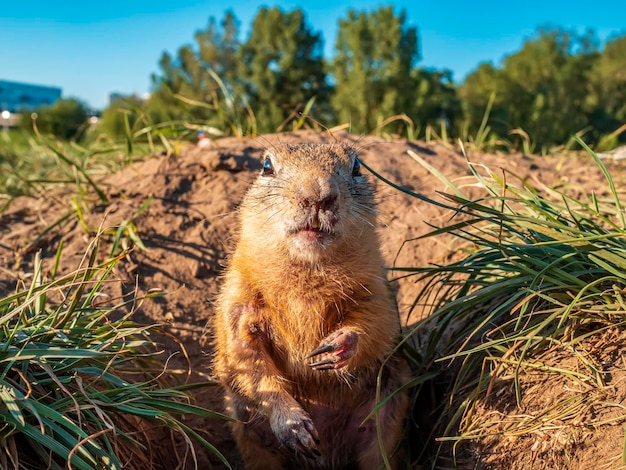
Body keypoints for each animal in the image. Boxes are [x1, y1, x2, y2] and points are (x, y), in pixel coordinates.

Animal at [213, 141, 410, 468]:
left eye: (357, 166)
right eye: (266, 166)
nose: (318, 195)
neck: (308, 272)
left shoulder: (375, 290)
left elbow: (377, 324)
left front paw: (334, 347)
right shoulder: (237, 298)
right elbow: (245, 357)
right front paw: (295, 426)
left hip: (384, 423)